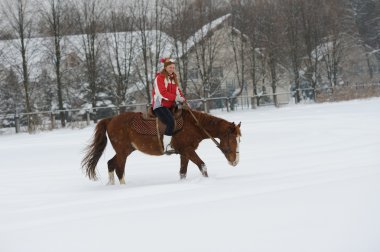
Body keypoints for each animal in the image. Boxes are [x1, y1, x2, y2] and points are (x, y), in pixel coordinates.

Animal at [81, 107, 240, 185]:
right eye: (233, 139)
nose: (235, 161)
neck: (194, 125)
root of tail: (110, 119)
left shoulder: (184, 153)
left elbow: (183, 172)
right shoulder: (188, 150)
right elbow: (203, 166)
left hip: (126, 150)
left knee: (111, 163)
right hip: (123, 152)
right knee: (119, 169)